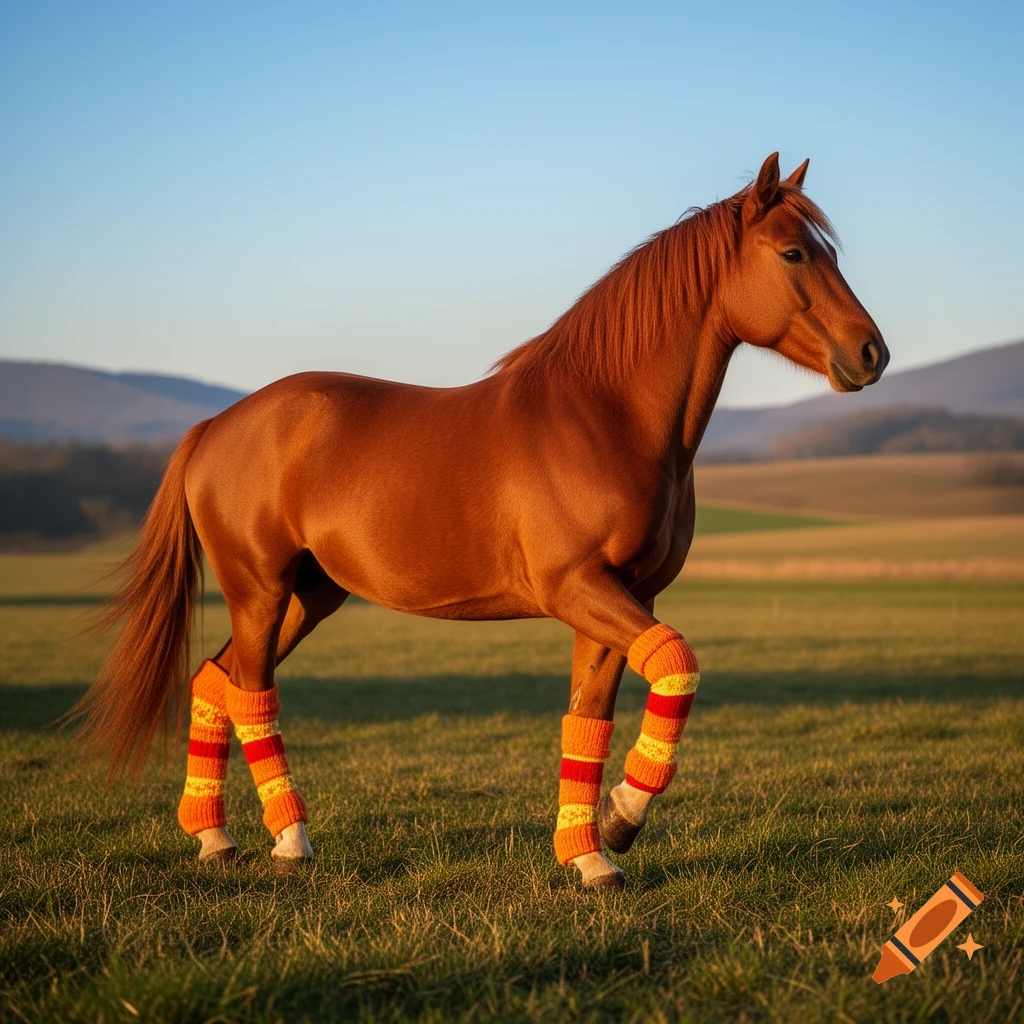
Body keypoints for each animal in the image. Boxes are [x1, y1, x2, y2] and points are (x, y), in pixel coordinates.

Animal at [74, 153, 887, 889]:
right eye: (793, 252)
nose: (872, 352)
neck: (604, 417)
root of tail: (216, 425)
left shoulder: (622, 598)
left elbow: (588, 718)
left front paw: (590, 855)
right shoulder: (578, 588)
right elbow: (678, 665)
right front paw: (622, 821)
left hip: (310, 595)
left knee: (217, 682)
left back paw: (214, 838)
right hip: (259, 591)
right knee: (250, 695)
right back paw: (290, 843)